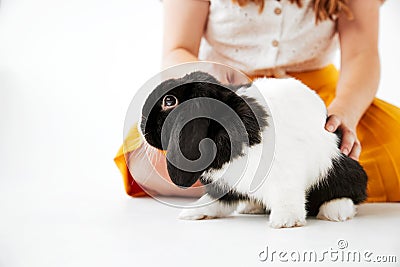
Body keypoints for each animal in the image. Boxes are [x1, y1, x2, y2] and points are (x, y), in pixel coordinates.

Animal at [139, 71, 368, 230]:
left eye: (169, 101)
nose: (142, 126)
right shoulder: (226, 183)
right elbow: (218, 201)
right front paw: (193, 212)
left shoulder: (284, 174)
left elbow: (287, 195)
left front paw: (285, 221)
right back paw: (252, 207)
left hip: (338, 168)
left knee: (349, 191)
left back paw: (335, 211)